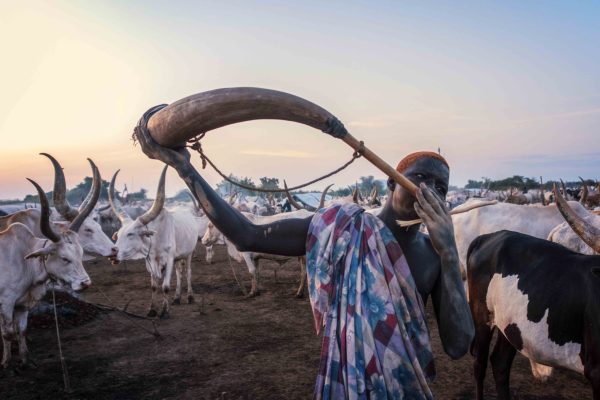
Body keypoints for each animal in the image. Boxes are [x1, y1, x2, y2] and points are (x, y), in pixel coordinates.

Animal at [0, 179, 91, 368]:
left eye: (81, 254)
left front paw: (25, 360)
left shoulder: (22, 304)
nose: (85, 283)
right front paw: (7, 363)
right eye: (64, 258)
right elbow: (7, 333)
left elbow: (21, 330)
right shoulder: (5, 302)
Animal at [111, 167, 205, 318]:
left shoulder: (169, 259)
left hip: (189, 253)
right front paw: (152, 310)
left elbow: (165, 286)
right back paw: (177, 298)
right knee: (179, 273)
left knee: (188, 272)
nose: (113, 253)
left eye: (131, 234)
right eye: (118, 235)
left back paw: (190, 297)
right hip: (178, 257)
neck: (155, 240)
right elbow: (154, 286)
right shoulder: (150, 261)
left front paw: (165, 311)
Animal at [468, 188, 600, 400]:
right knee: (480, 365)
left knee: (500, 363)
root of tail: (488, 237)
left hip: (510, 324)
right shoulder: (596, 371)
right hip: (482, 317)